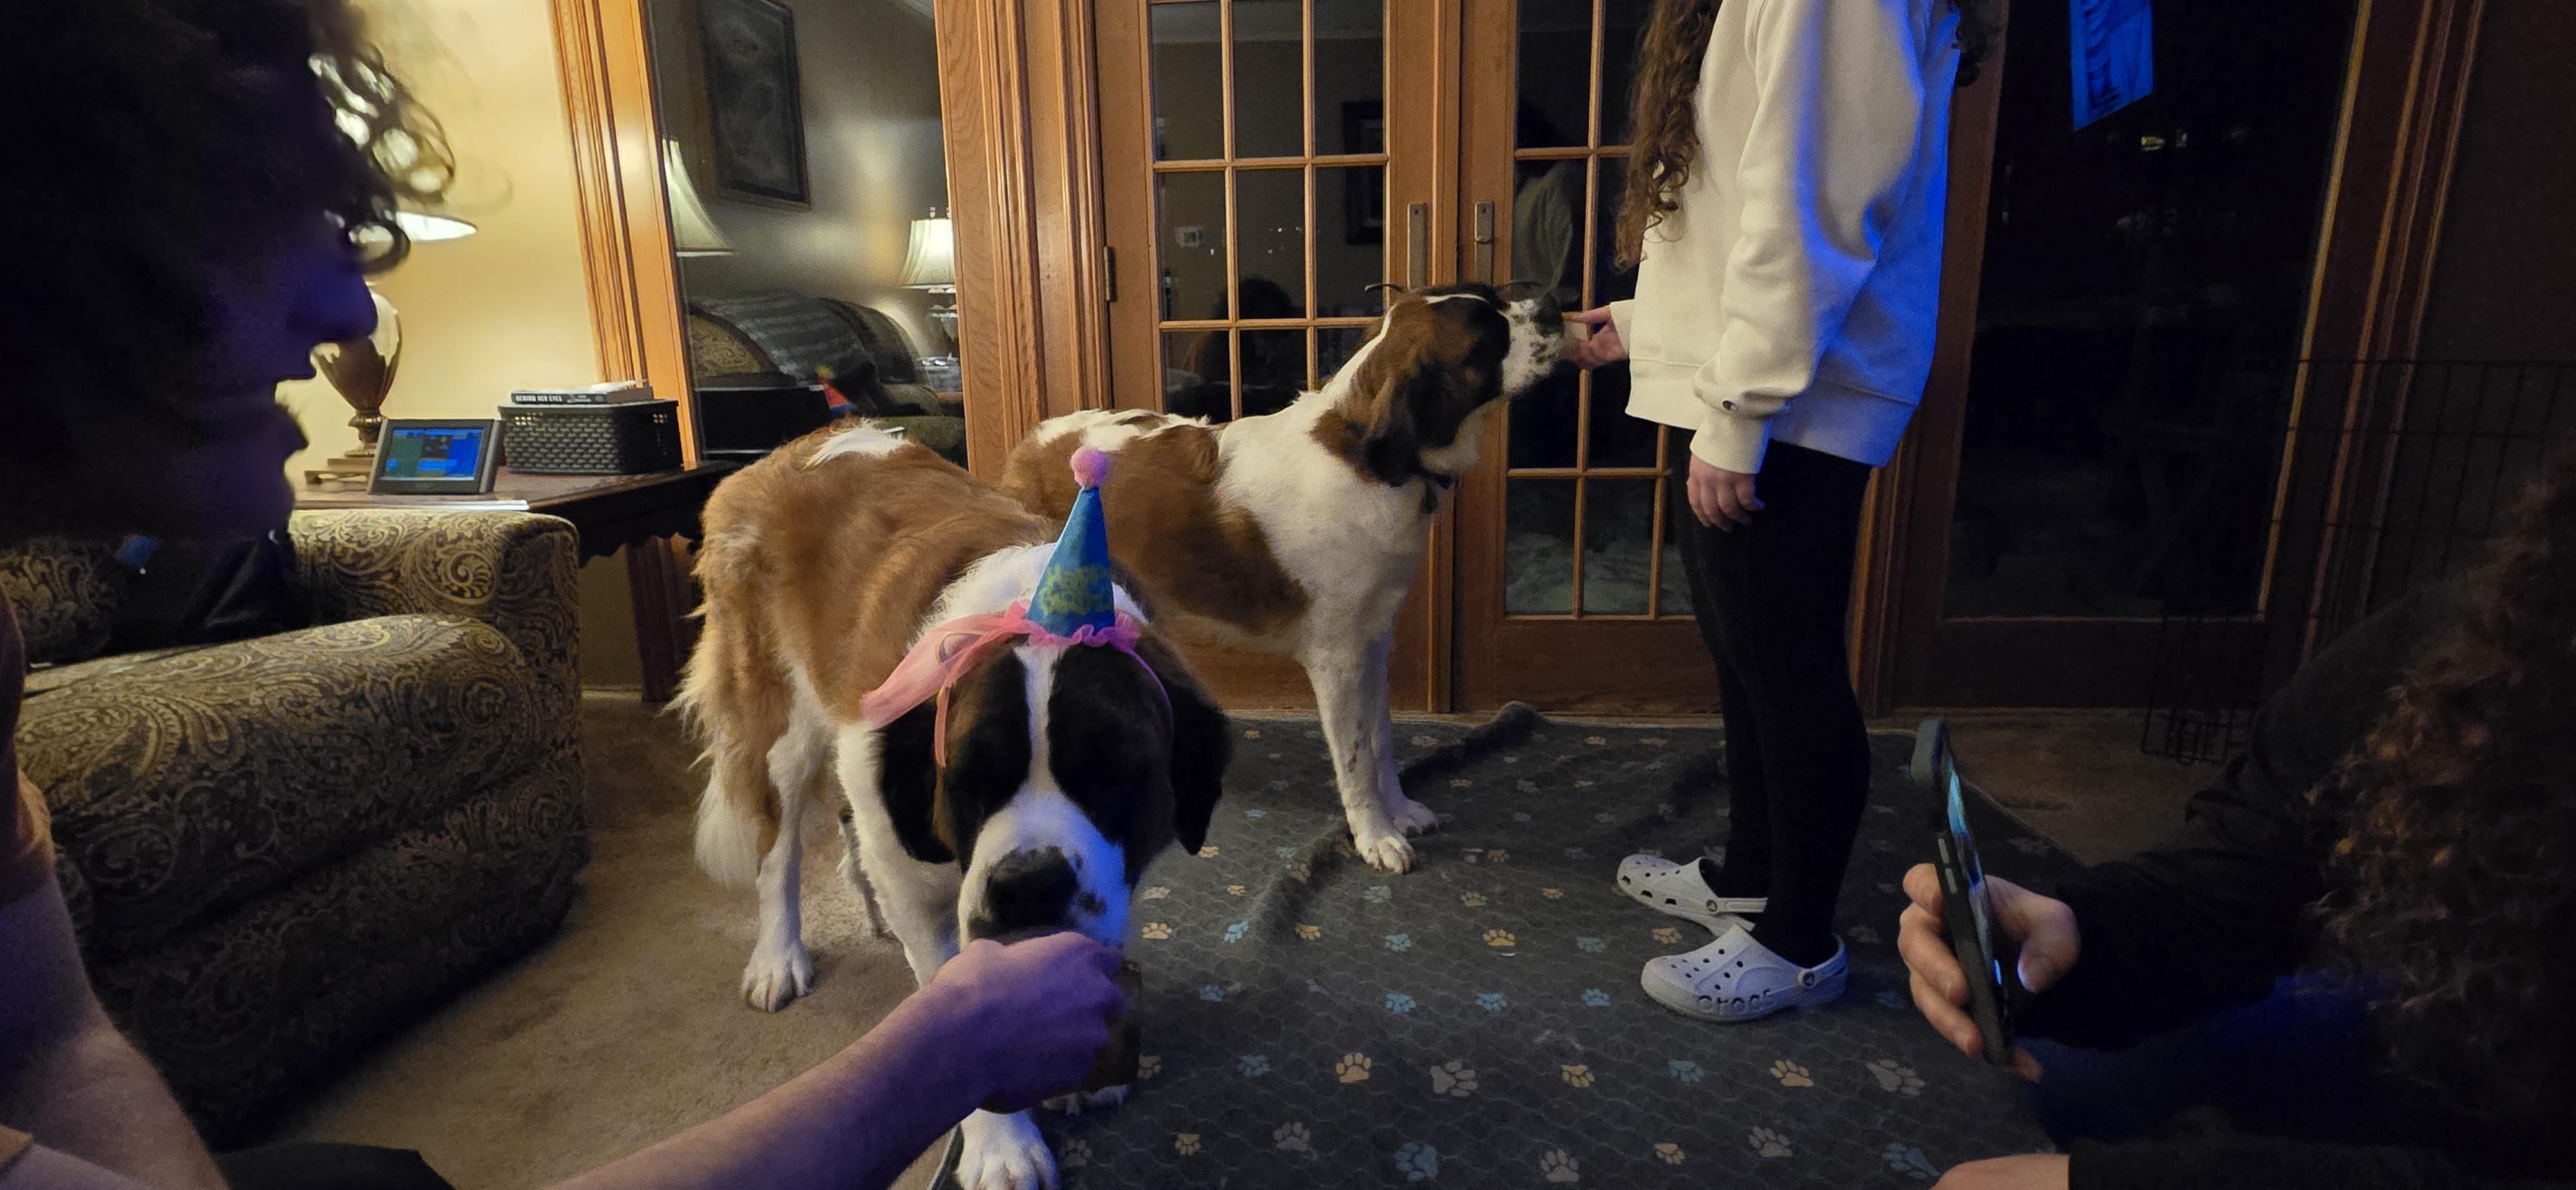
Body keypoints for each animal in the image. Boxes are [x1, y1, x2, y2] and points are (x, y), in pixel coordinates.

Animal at [677, 422, 1228, 1189]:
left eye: (1111, 775)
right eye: (968, 781)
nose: (1029, 884)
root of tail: (782, 453)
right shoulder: (918, 880)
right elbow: (963, 1003)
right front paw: (1003, 1144)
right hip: (781, 730)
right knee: (778, 852)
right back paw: (778, 956)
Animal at [1002, 282, 1566, 872]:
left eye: (1494, 295)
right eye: (1488, 332)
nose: (1554, 304)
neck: (1362, 454)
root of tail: (1036, 438)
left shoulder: (1373, 643)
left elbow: (1382, 739)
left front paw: (1399, 811)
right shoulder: (1336, 658)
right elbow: (1357, 757)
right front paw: (1375, 835)